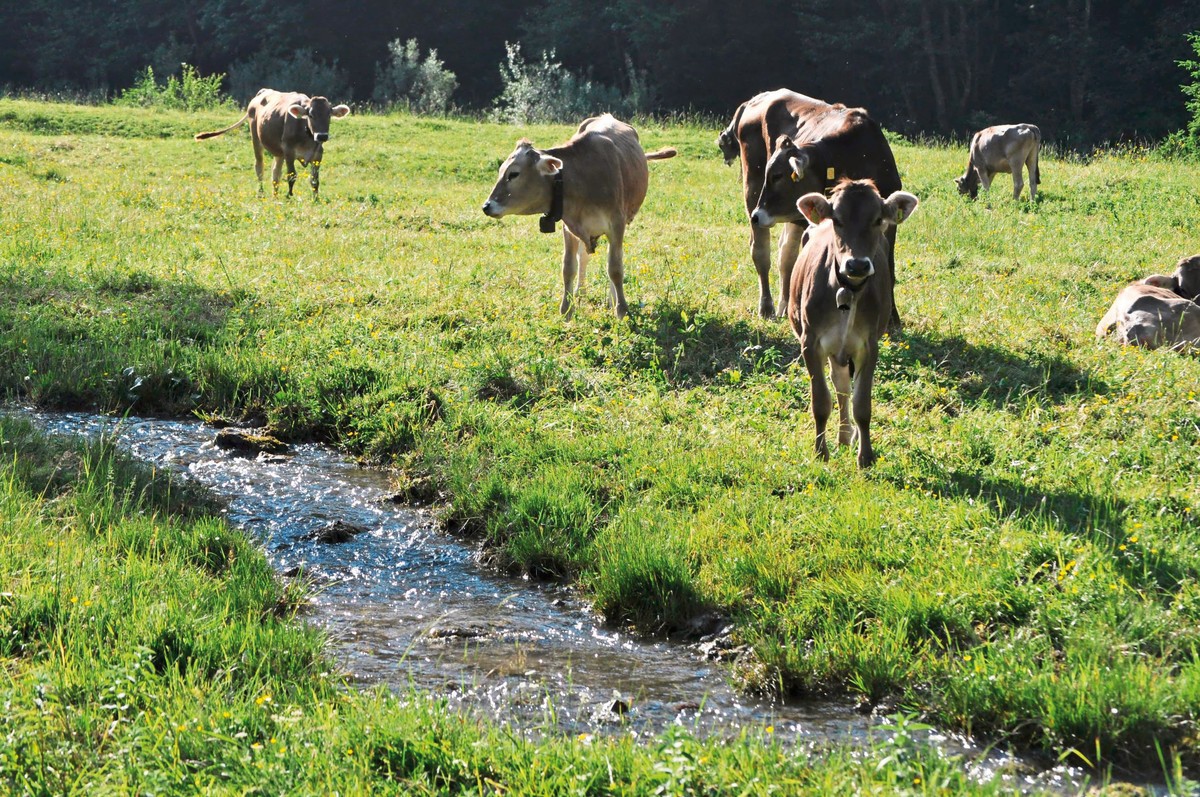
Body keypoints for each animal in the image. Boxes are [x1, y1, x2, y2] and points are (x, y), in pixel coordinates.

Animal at [192, 87, 350, 198]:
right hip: (256, 139)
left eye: (329, 115)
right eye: (310, 115)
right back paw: (261, 193)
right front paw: (289, 196)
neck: (306, 135)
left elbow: (315, 179)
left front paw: (315, 198)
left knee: (275, 173)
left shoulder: (318, 154)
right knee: (259, 168)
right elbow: (292, 175)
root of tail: (262, 92)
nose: (322, 136)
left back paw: (275, 196)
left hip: (279, 152)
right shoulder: (289, 151)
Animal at [482, 111, 681, 321]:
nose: (486, 206)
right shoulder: (568, 226)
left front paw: (621, 311)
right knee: (583, 257)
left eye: (514, 174)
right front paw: (567, 310)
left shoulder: (616, 224)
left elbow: (615, 268)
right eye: (500, 170)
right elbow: (569, 267)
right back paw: (581, 292)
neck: (581, 179)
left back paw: (612, 300)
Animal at [720, 90, 902, 321]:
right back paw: (767, 307)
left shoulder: (889, 223)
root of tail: (757, 99)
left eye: (777, 175)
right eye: (771, 175)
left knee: (786, 254)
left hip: (794, 216)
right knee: (761, 251)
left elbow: (888, 266)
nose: (757, 215)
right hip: (752, 189)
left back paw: (785, 304)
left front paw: (892, 317)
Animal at [787, 177, 916, 470]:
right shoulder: (810, 342)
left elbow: (862, 404)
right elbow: (821, 401)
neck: (848, 290)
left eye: (878, 219)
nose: (856, 265)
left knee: (845, 388)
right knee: (840, 386)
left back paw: (849, 437)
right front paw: (820, 452)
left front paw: (865, 455)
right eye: (837, 219)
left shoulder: (869, 345)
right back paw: (843, 436)